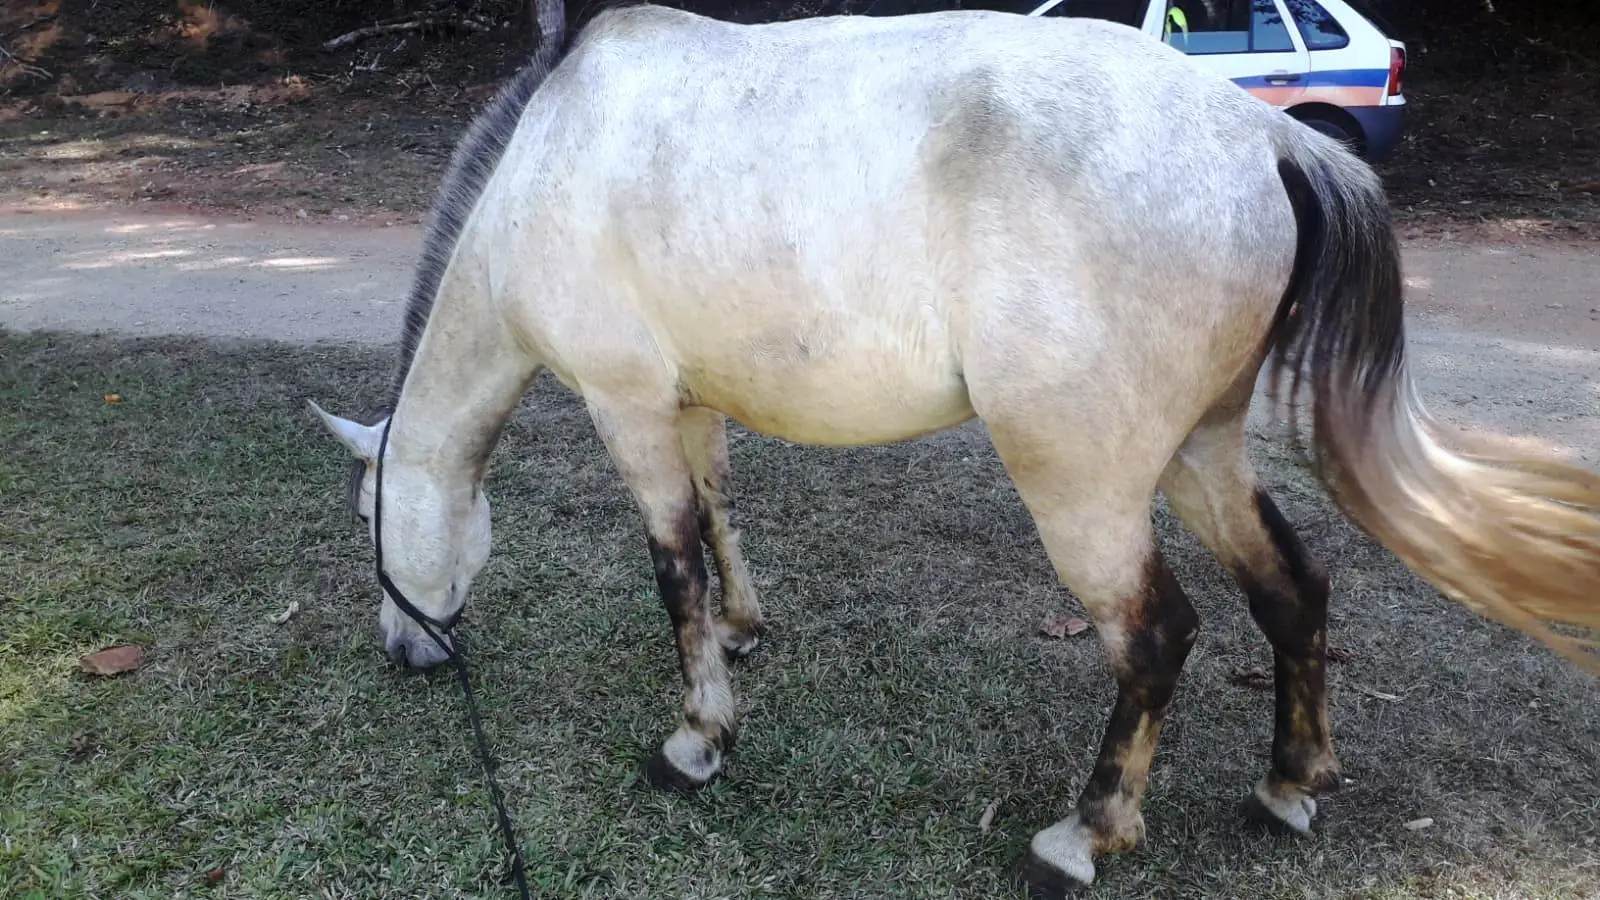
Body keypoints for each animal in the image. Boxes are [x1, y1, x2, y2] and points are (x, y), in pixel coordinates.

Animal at [309, 3, 1600, 894]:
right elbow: (719, 507)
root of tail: (1261, 139)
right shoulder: (688, 399)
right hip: (1198, 453)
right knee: (1290, 587)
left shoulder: (626, 407)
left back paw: (1082, 837)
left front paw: (696, 738)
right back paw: (1286, 786)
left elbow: (671, 566)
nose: (406, 653)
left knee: (1154, 637)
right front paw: (743, 628)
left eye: (367, 521)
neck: (549, 163)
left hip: (1084, 485)